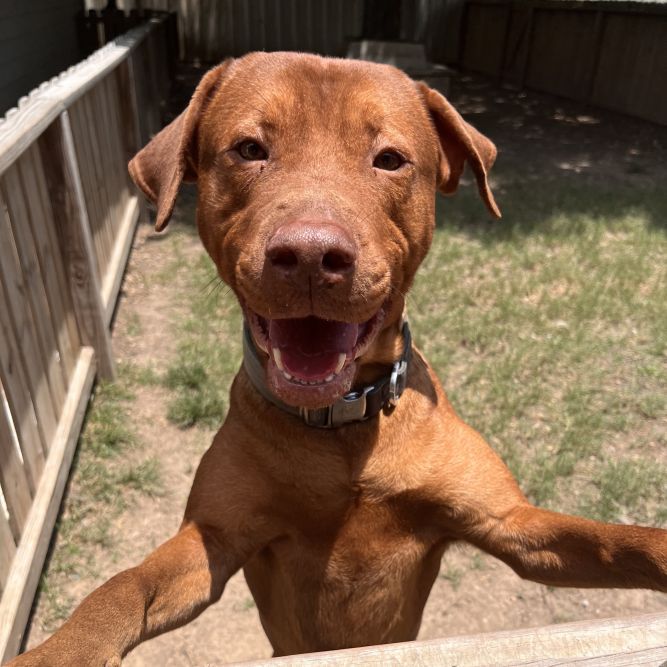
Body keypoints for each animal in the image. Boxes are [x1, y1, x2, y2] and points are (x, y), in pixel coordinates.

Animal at [7, 53, 664, 667]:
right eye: (249, 149)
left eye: (390, 159)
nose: (309, 255)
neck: (342, 427)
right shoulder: (212, 541)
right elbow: (123, 586)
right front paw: (64, 649)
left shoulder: (511, 525)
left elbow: (620, 540)